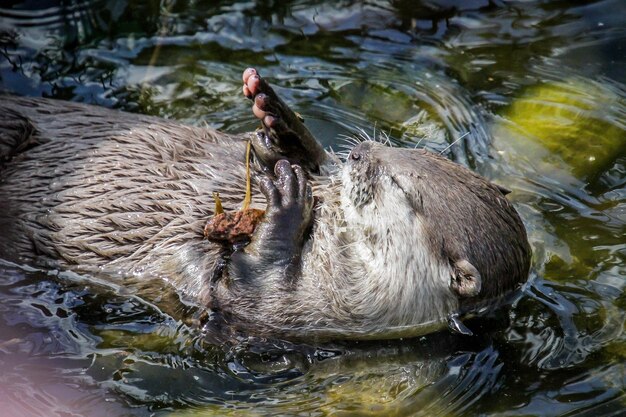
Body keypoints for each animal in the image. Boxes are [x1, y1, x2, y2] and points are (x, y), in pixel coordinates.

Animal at [0, 68, 528, 340]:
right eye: (407, 151)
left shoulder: (297, 312)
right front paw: (281, 125)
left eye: (400, 187)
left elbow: (232, 288)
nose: (359, 152)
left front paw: (286, 201)